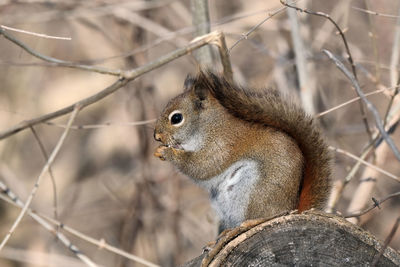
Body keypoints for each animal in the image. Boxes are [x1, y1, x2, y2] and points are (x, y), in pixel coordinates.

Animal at [153, 70, 332, 232]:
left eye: (176, 118)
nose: (156, 136)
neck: (208, 126)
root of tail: (294, 208)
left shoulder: (221, 146)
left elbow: (202, 166)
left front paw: (167, 153)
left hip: (256, 193)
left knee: (270, 214)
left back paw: (250, 223)